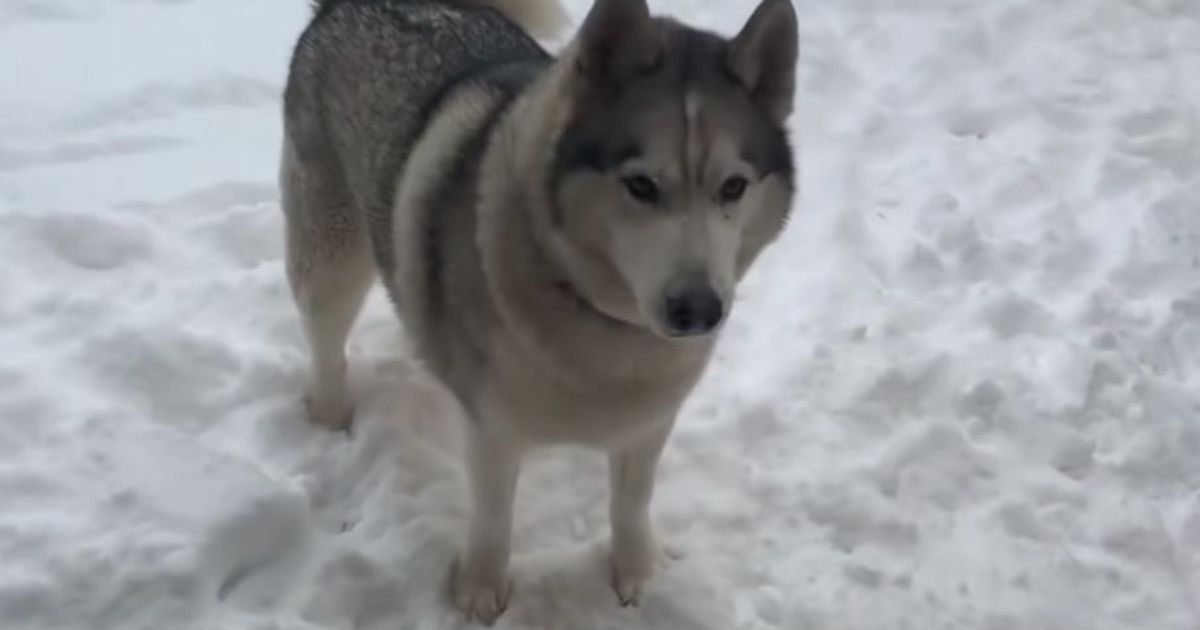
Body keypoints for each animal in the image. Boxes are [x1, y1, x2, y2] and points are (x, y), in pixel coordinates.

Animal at [280, 0, 796, 619]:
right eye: (641, 185)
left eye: (733, 186)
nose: (698, 309)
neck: (600, 320)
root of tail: (343, 8)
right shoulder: (491, 428)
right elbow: (494, 516)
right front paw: (480, 592)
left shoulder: (649, 421)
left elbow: (631, 502)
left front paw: (638, 575)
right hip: (331, 253)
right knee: (325, 335)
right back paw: (331, 415)